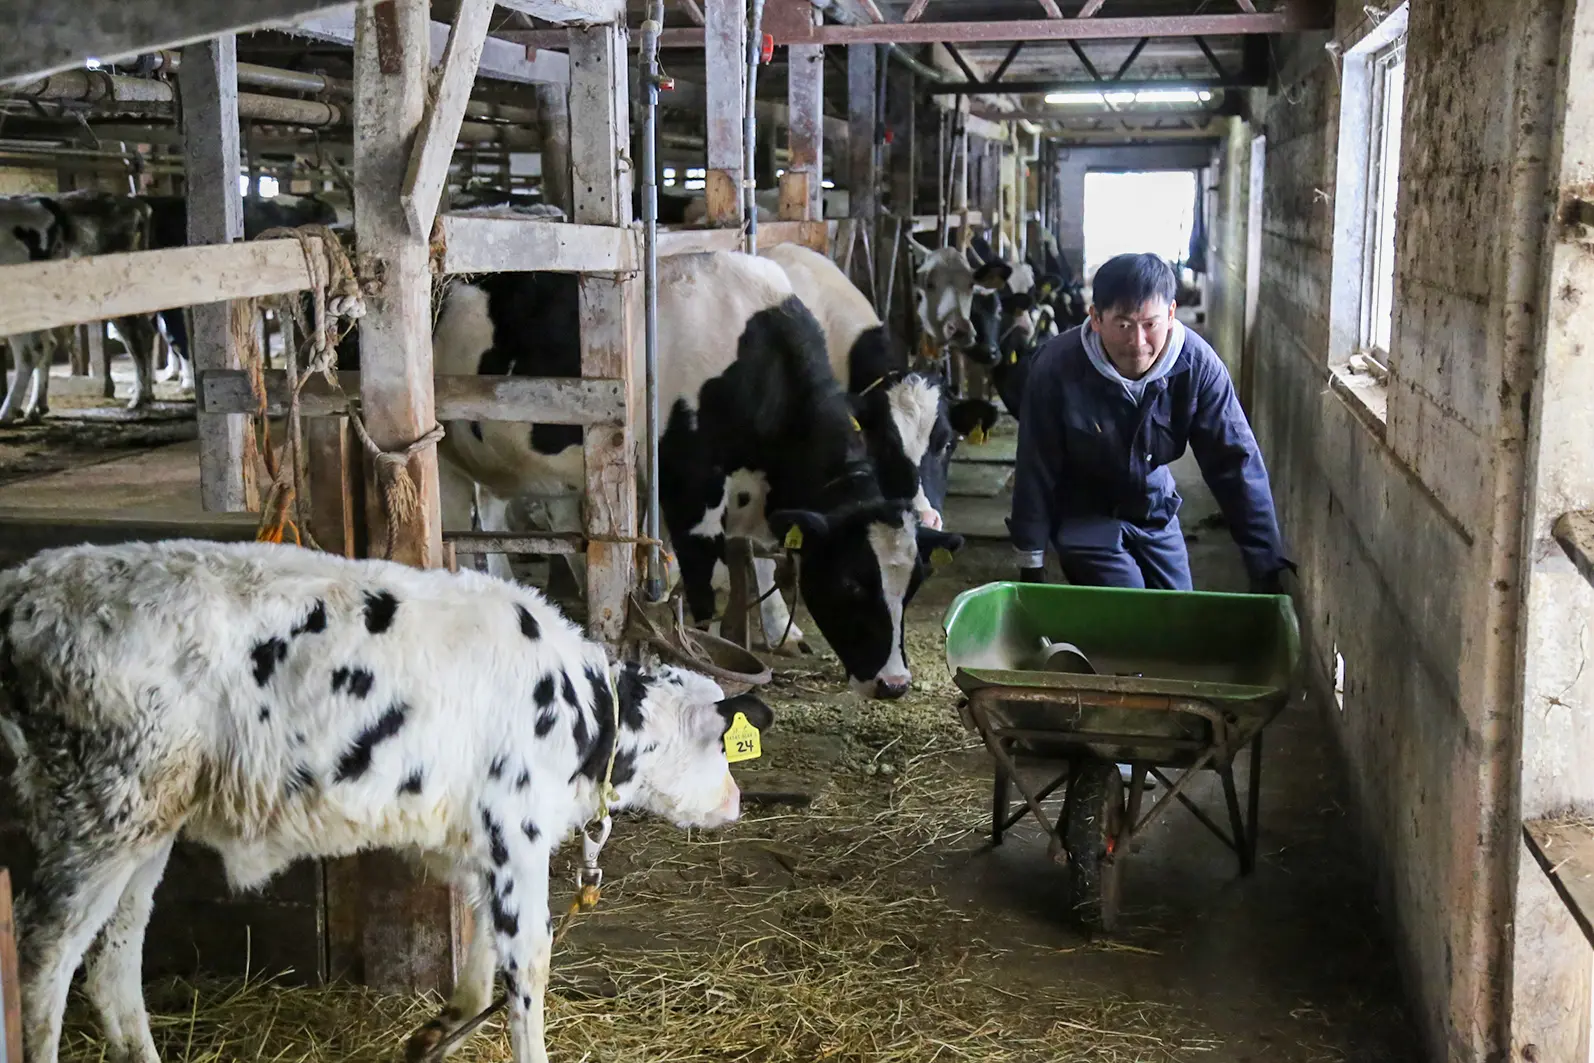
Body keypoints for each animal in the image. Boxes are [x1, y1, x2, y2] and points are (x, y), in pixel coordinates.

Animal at [0, 541, 771, 1063]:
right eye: (720, 747)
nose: (736, 801)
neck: (580, 705)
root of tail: (29, 583)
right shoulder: (513, 832)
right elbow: (528, 963)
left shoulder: (475, 843)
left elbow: (478, 952)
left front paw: (437, 1031)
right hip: (97, 812)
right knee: (43, 958)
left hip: (148, 818)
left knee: (113, 957)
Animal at [430, 250, 937, 698]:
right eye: (851, 582)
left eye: (914, 585)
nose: (894, 684)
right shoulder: (691, 494)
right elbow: (700, 596)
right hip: (444, 453)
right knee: (456, 531)